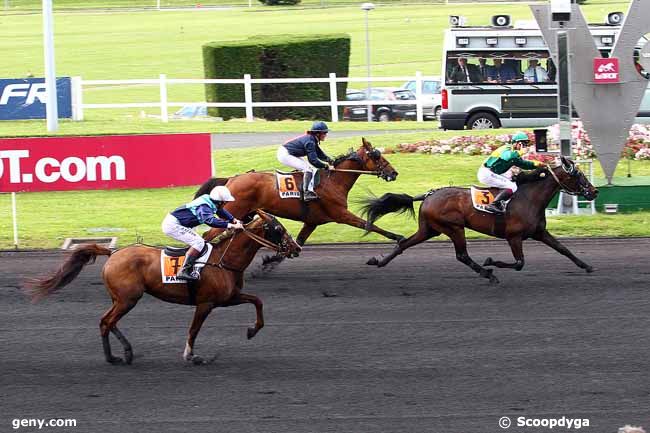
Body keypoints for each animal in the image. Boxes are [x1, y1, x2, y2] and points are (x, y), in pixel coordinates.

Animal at [25, 211, 298, 366]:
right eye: (278, 229)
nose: (295, 247)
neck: (222, 260)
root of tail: (113, 253)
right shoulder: (206, 303)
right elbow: (194, 330)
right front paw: (192, 356)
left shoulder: (228, 297)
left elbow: (257, 301)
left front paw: (252, 330)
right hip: (128, 299)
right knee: (108, 322)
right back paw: (120, 355)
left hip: (120, 299)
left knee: (105, 322)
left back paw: (119, 355)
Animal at [360, 157, 596, 282]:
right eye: (578, 175)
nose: (593, 191)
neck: (529, 197)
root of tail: (428, 195)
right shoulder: (513, 236)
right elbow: (519, 263)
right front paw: (491, 261)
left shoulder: (539, 232)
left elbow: (563, 249)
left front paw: (587, 266)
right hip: (454, 227)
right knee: (462, 255)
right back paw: (487, 273)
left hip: (429, 229)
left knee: (404, 244)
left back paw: (379, 262)